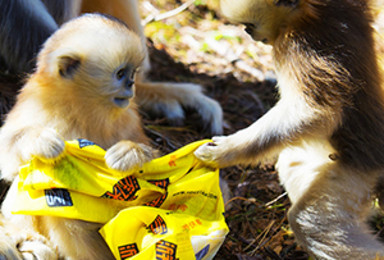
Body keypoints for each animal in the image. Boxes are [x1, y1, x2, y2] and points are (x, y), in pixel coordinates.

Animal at [0, 13, 159, 258]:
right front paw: (40, 140)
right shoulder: (35, 104)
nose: (131, 84)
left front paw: (130, 153)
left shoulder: (129, 116)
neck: (81, 107)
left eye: (132, 73)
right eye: (120, 74)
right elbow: (8, 160)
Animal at [195, 0, 384, 258]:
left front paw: (224, 152)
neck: (307, 14)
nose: (247, 32)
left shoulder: (299, 46)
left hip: (360, 176)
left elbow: (315, 112)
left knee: (309, 223)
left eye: (249, 25)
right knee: (290, 162)